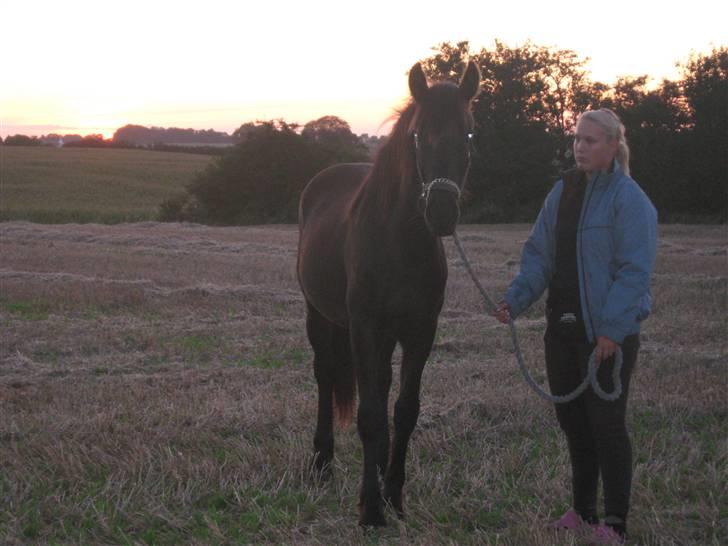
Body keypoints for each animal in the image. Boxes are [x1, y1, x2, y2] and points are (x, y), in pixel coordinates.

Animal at [296, 60, 484, 524]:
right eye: (418, 134)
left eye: (469, 133)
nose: (441, 211)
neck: (400, 241)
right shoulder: (364, 326)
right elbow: (368, 415)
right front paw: (370, 510)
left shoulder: (420, 330)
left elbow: (403, 409)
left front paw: (394, 495)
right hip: (319, 316)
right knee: (326, 376)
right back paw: (322, 462)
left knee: (380, 388)